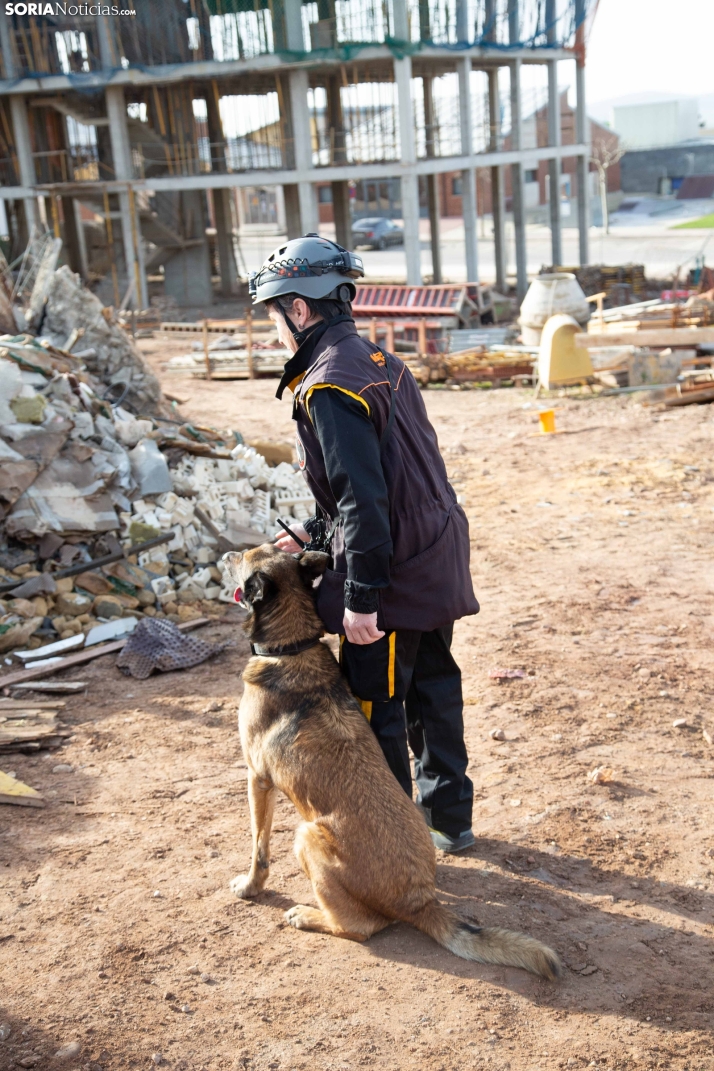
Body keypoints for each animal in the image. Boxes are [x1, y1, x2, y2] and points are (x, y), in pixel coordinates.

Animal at [220, 544, 560, 981]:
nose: (224, 554)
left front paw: (249, 887)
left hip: (307, 835)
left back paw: (309, 916)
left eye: (243, 557)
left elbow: (258, 849)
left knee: (360, 927)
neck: (291, 646)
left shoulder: (257, 779)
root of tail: (419, 900)